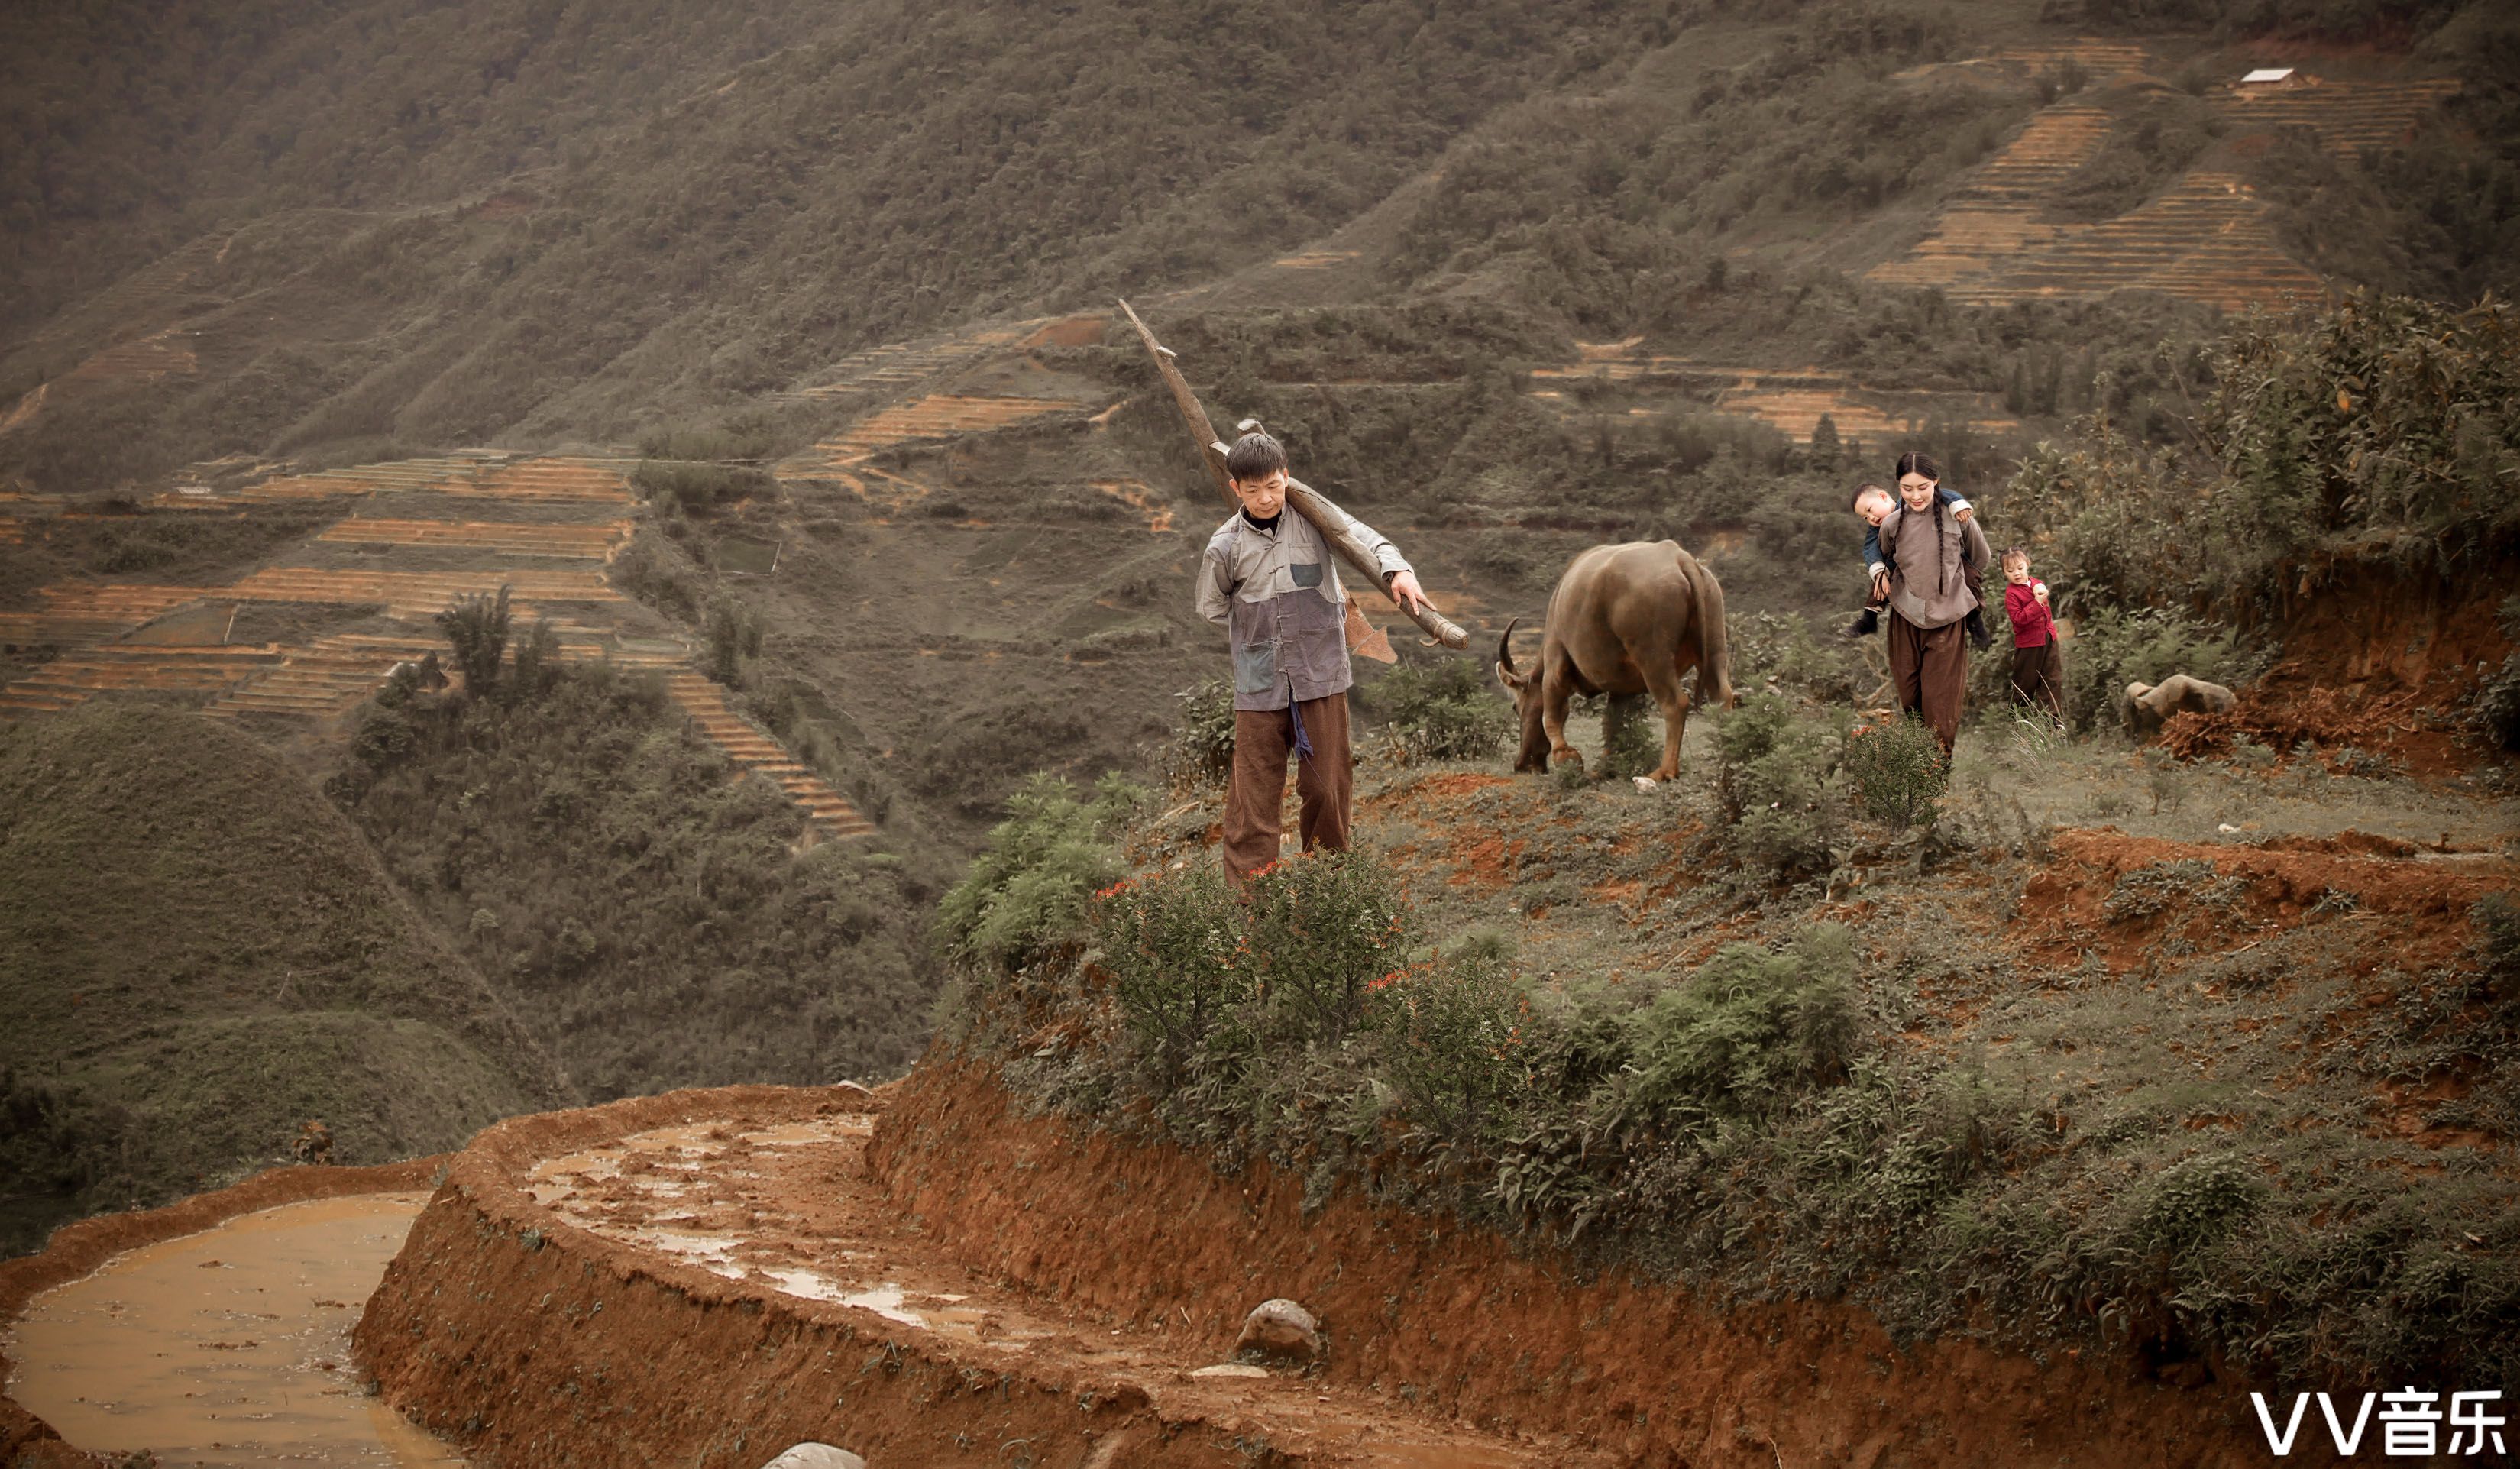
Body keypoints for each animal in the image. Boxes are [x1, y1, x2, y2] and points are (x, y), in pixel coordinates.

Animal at [1492, 539, 1733, 781]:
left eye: (1516, 707)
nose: (1522, 764)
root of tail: (1680, 559)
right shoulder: (1621, 689)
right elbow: (1612, 723)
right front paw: (1605, 767)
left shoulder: (1555, 665)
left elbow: (1550, 716)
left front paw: (1566, 757)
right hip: (1715, 652)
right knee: (1723, 697)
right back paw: (1726, 763)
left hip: (1654, 660)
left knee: (1676, 704)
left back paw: (1664, 771)